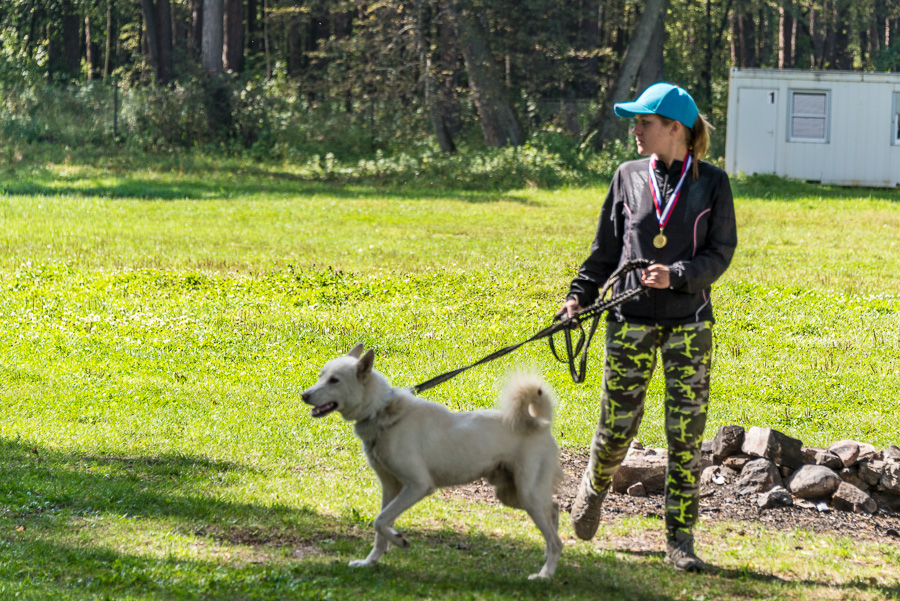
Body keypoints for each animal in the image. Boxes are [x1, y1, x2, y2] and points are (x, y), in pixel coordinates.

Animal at [302, 344, 564, 580]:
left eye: (334, 380)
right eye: (321, 375)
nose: (304, 395)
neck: (382, 411)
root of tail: (541, 424)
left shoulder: (418, 486)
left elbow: (380, 521)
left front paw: (399, 541)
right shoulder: (390, 488)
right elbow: (381, 525)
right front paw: (371, 562)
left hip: (527, 495)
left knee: (555, 540)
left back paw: (545, 575)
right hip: (513, 495)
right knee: (553, 509)